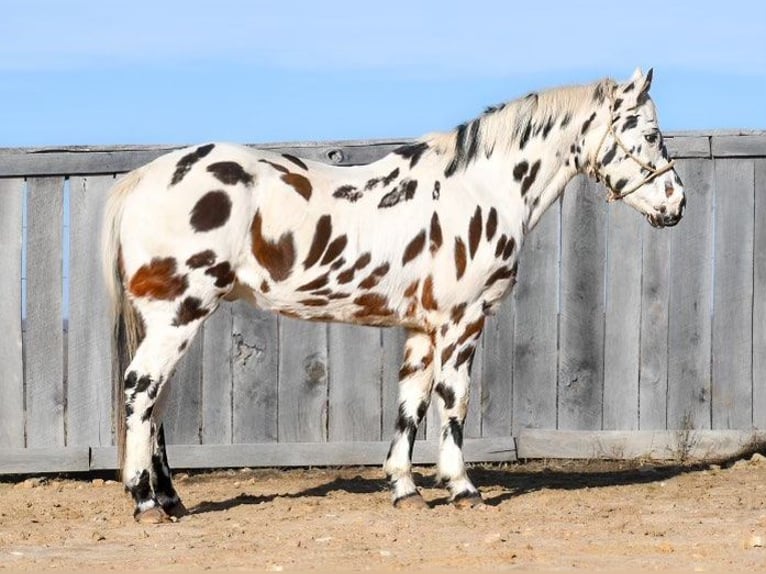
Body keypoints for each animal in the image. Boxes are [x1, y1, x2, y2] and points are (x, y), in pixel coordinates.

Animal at [103, 68, 688, 528]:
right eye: (651, 133)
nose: (677, 203)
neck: (482, 189)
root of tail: (142, 179)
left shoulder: (422, 329)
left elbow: (411, 404)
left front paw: (405, 491)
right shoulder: (462, 321)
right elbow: (454, 401)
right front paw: (463, 489)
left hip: (172, 320)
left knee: (155, 403)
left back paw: (172, 501)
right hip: (178, 314)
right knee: (139, 390)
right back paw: (145, 503)